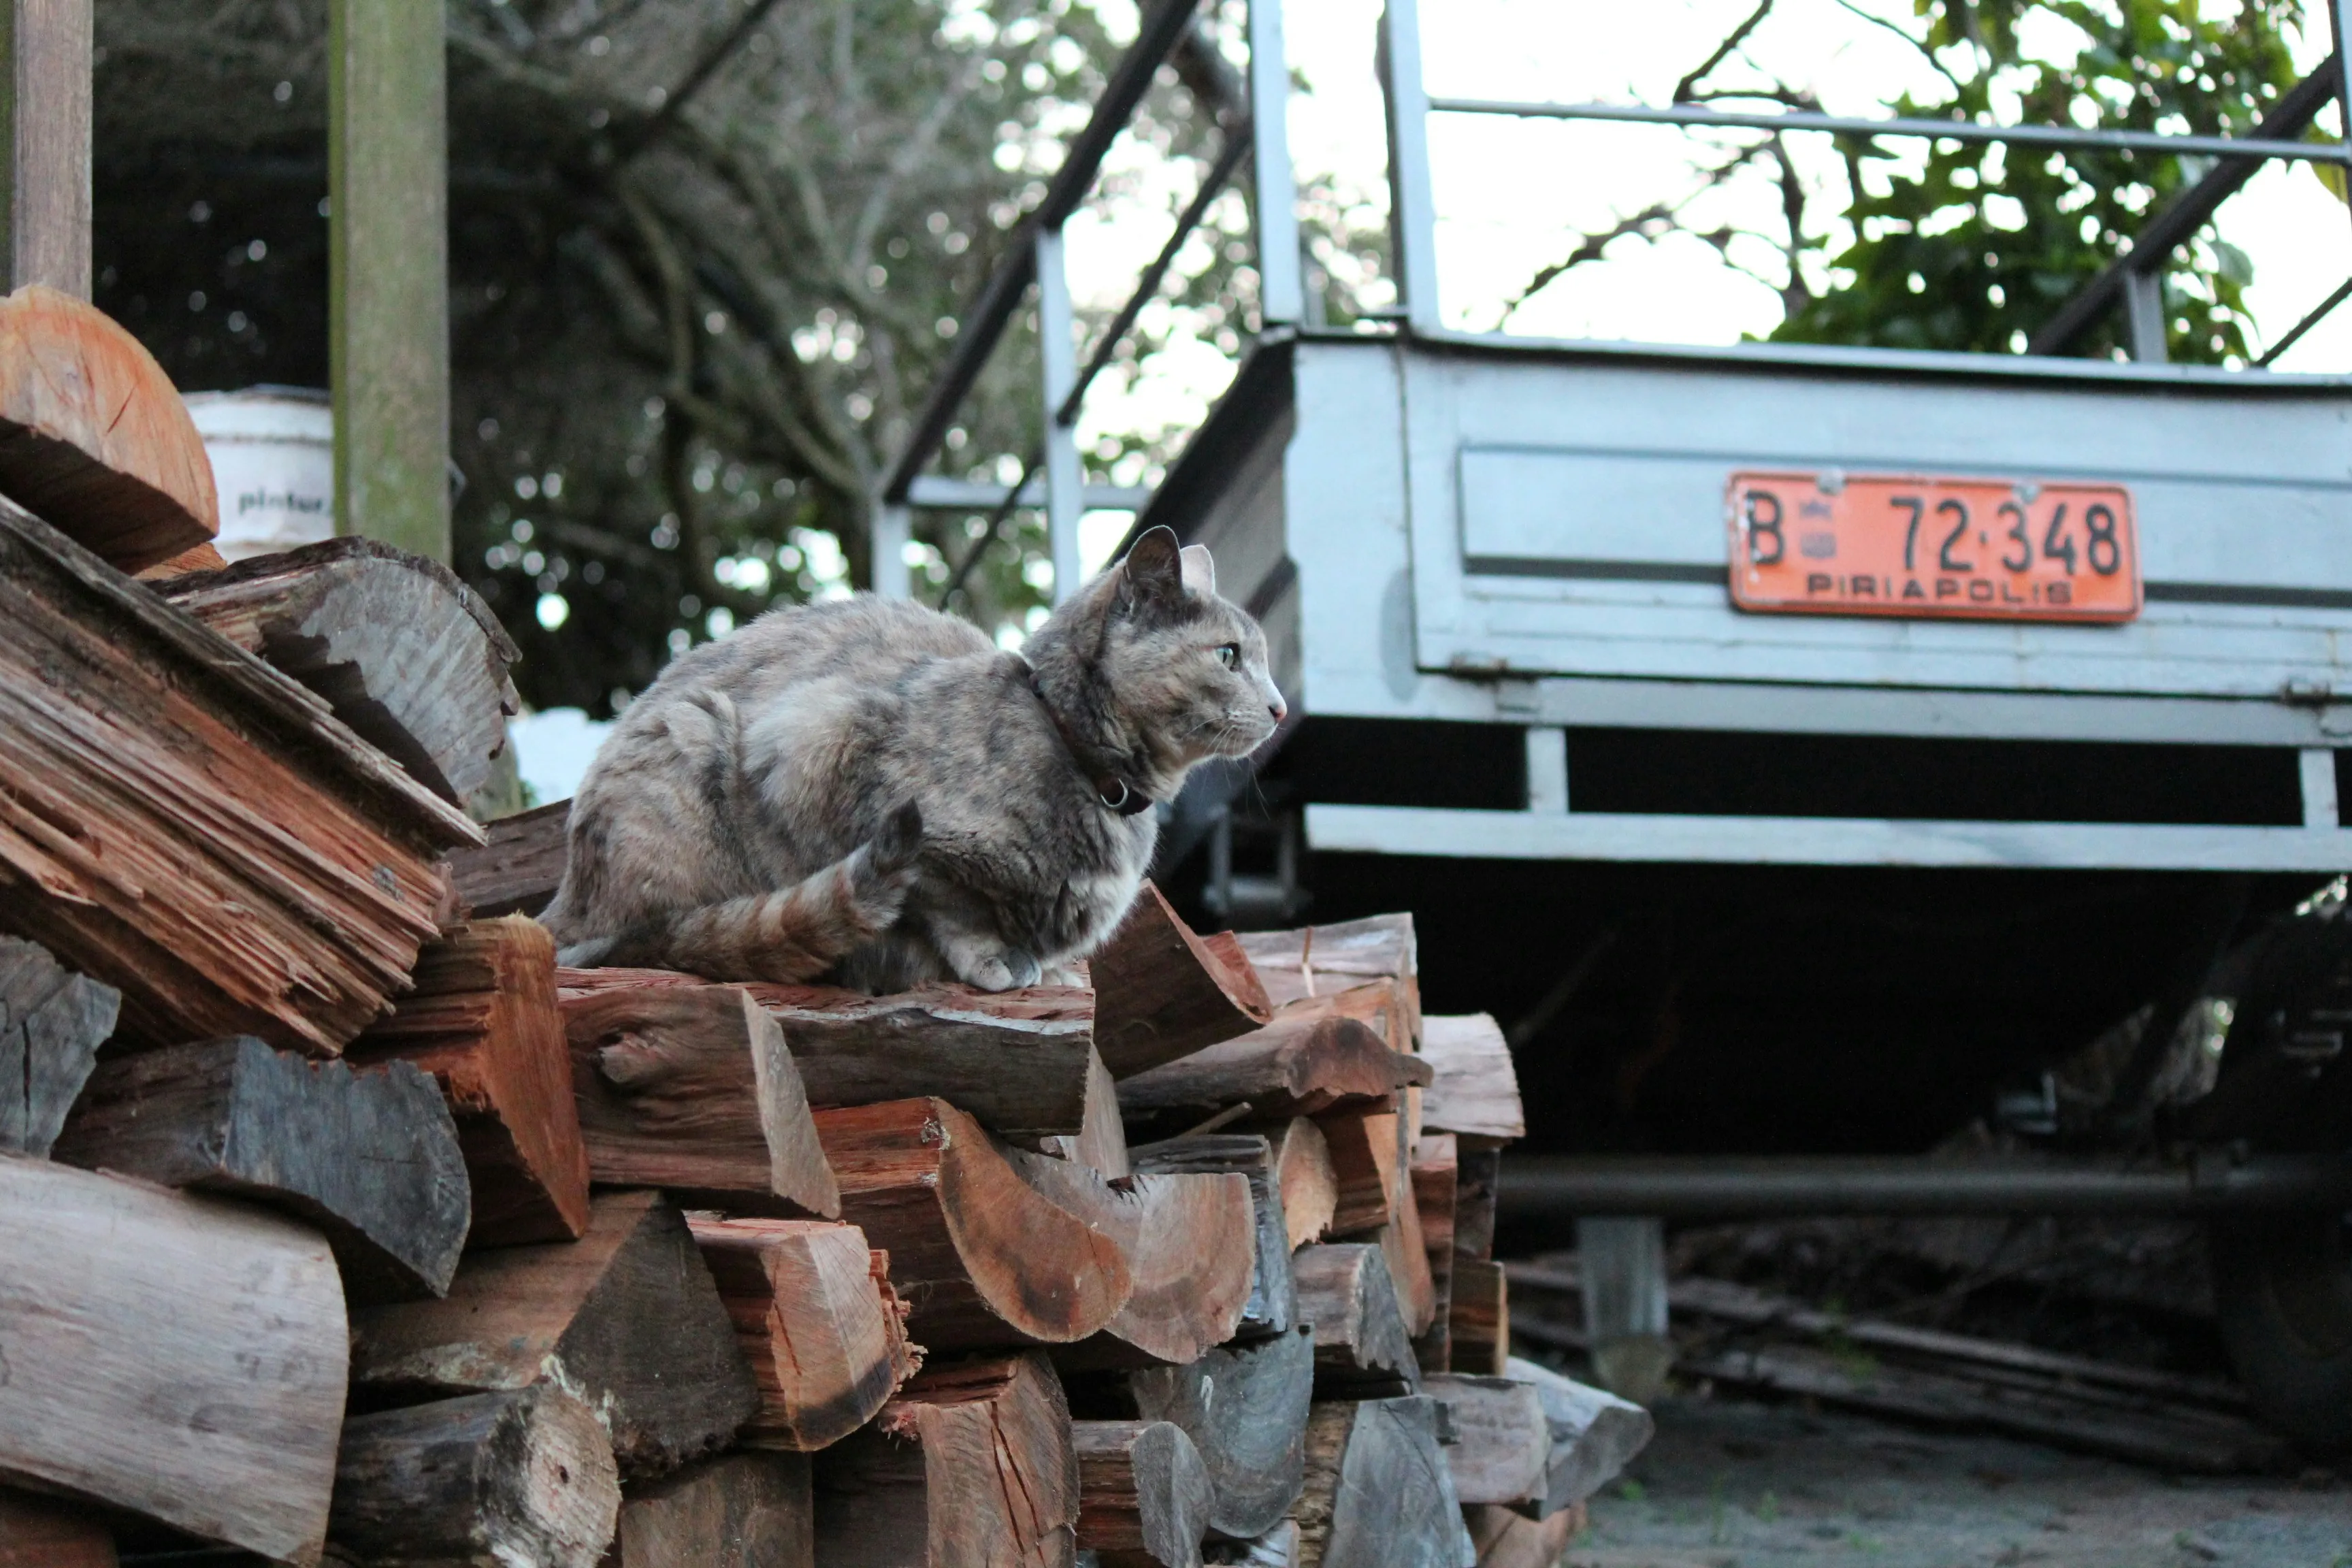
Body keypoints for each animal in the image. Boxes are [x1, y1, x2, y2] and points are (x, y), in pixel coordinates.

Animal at [538, 526, 1288, 992]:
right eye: (1229, 656)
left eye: (1265, 658)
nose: (1281, 707)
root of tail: (559, 905)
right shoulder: (823, 749)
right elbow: (945, 900)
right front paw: (993, 960)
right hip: (694, 733)